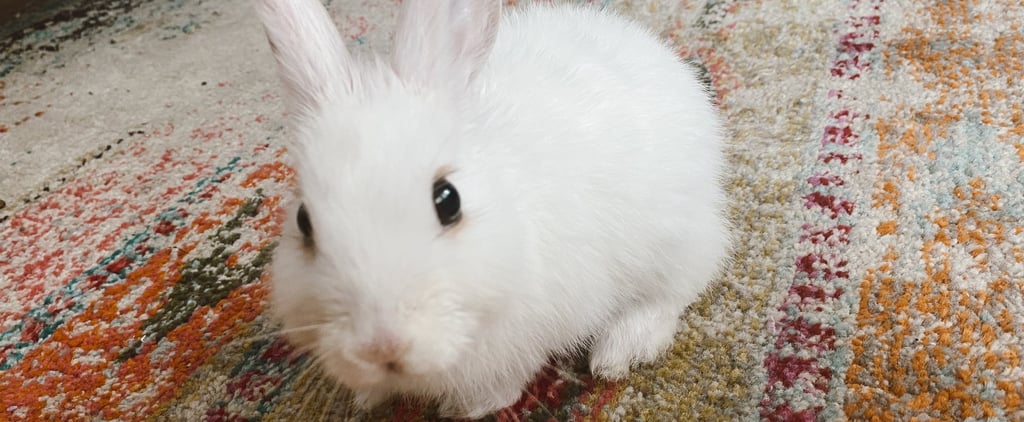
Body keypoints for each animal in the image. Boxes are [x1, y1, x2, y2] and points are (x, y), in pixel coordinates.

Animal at [257, 0, 731, 418]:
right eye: (303, 222)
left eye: (448, 200)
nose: (382, 346)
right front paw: (367, 396)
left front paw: (468, 407)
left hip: (677, 239)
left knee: (676, 290)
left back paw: (622, 350)